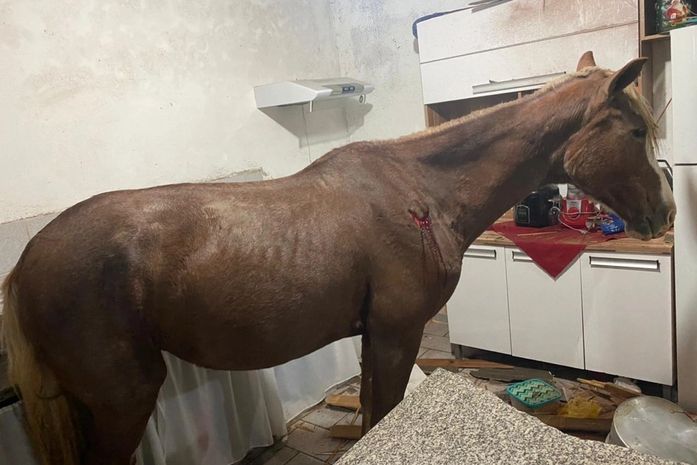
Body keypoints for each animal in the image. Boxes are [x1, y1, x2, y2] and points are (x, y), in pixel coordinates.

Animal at [1, 51, 675, 465]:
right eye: (635, 132)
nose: (667, 215)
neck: (420, 192)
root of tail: (26, 259)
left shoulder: (375, 337)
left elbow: (375, 416)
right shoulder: (398, 334)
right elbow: (385, 413)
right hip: (124, 399)